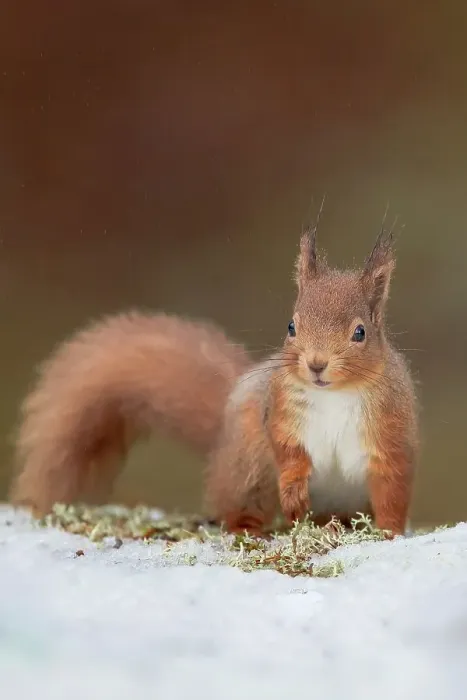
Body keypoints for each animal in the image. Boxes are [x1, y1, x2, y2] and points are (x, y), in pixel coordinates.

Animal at [9, 226, 418, 537]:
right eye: (291, 326)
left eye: (360, 333)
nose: (317, 365)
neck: (333, 395)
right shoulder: (280, 409)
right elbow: (286, 449)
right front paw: (293, 491)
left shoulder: (389, 433)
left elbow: (391, 488)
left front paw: (390, 532)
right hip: (248, 465)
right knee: (235, 505)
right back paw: (250, 527)